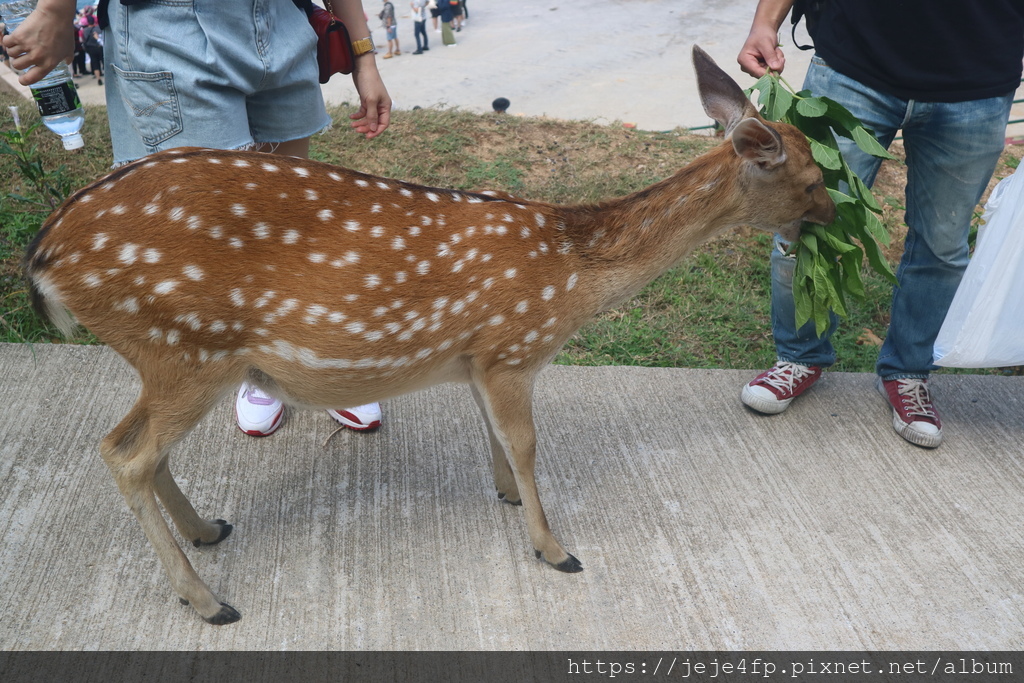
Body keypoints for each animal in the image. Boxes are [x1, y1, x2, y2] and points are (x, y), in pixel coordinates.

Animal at [22, 48, 831, 626]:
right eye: (814, 177)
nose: (831, 216)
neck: (573, 277)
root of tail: (44, 257)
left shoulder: (475, 357)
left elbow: (498, 440)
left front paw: (506, 499)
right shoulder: (512, 347)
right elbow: (527, 443)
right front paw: (554, 548)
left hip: (172, 355)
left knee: (133, 444)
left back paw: (208, 532)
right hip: (186, 346)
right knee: (124, 454)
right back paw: (209, 600)